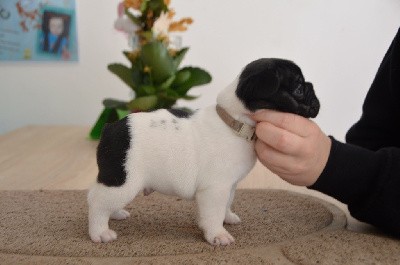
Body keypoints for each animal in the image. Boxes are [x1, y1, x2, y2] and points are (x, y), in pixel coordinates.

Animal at [87, 58, 318, 244]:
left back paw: (115, 213)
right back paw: (100, 232)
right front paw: (217, 234)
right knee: (97, 202)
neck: (235, 122)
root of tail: (109, 128)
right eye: (299, 89)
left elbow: (226, 204)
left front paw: (227, 217)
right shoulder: (215, 189)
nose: (312, 86)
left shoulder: (229, 186)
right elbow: (213, 213)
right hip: (124, 180)